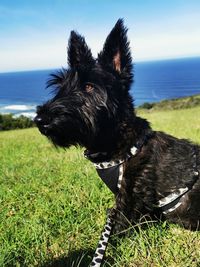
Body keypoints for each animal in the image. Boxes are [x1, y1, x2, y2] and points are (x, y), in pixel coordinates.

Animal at [35, 18, 200, 233]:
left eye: (89, 86)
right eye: (61, 87)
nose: (40, 120)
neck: (121, 143)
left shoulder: (130, 199)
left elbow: (118, 224)